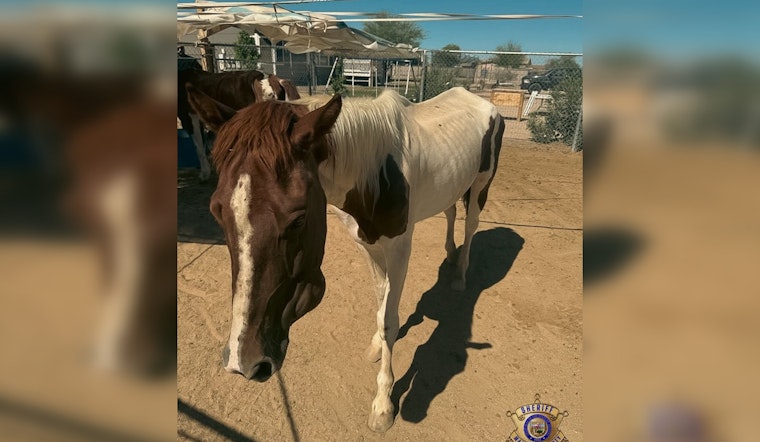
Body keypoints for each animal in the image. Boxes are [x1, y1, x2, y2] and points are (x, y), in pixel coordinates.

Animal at [187, 86, 505, 432]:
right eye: (217, 212)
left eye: (298, 220)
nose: (244, 362)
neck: (376, 171)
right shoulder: (367, 243)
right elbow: (381, 302)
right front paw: (377, 345)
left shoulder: (399, 248)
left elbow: (389, 318)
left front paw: (383, 404)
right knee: (449, 212)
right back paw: (449, 254)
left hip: (481, 185)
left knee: (471, 224)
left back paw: (460, 273)